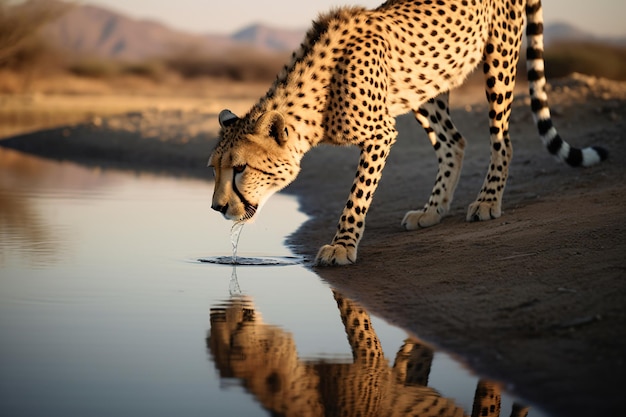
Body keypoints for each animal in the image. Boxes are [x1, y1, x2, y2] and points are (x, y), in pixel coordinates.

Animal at [208, 0, 604, 264]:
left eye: (240, 168)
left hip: (498, 57)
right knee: (453, 141)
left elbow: (357, 196)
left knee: (501, 138)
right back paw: (433, 210)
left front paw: (343, 245)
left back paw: (489, 200)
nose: (217, 207)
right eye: (214, 168)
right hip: (423, 85)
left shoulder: (380, 133)